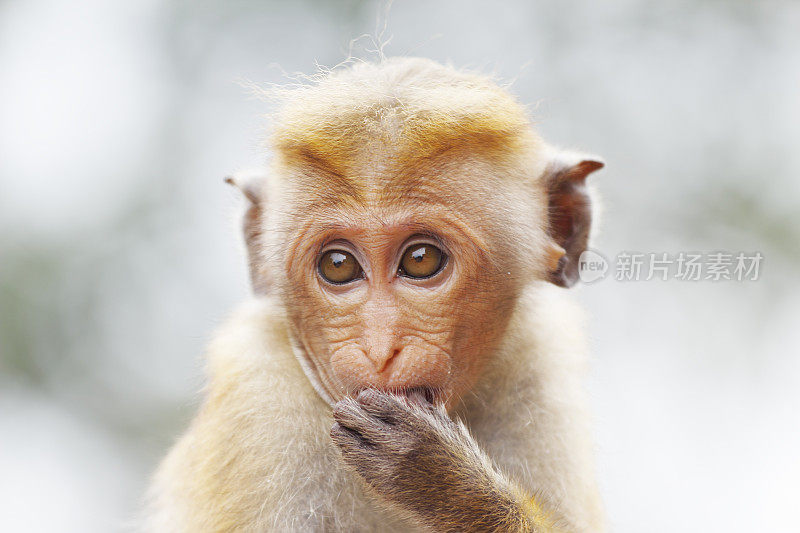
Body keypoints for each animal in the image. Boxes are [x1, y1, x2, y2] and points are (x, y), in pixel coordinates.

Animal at [145, 58, 608, 532]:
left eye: (421, 259)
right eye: (338, 265)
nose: (380, 351)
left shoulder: (537, 370)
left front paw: (442, 481)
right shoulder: (261, 405)